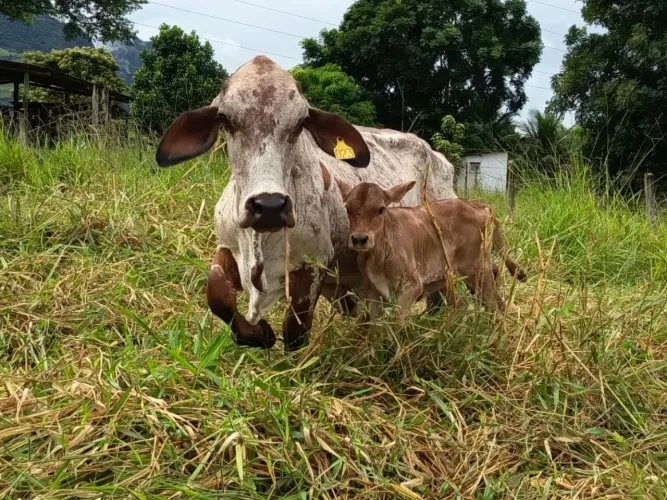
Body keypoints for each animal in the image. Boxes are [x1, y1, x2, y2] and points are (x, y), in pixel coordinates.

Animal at [155, 55, 456, 352]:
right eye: (225, 119)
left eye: (300, 123)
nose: (269, 206)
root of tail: (437, 155)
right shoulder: (228, 246)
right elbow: (216, 294)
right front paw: (257, 334)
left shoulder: (316, 262)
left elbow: (295, 330)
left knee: (437, 301)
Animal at [334, 175, 526, 322]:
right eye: (347, 208)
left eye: (381, 209)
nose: (359, 239)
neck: (378, 257)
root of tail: (479, 206)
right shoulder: (374, 292)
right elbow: (374, 328)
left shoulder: (413, 285)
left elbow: (398, 321)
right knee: (472, 302)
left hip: (478, 267)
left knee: (491, 300)